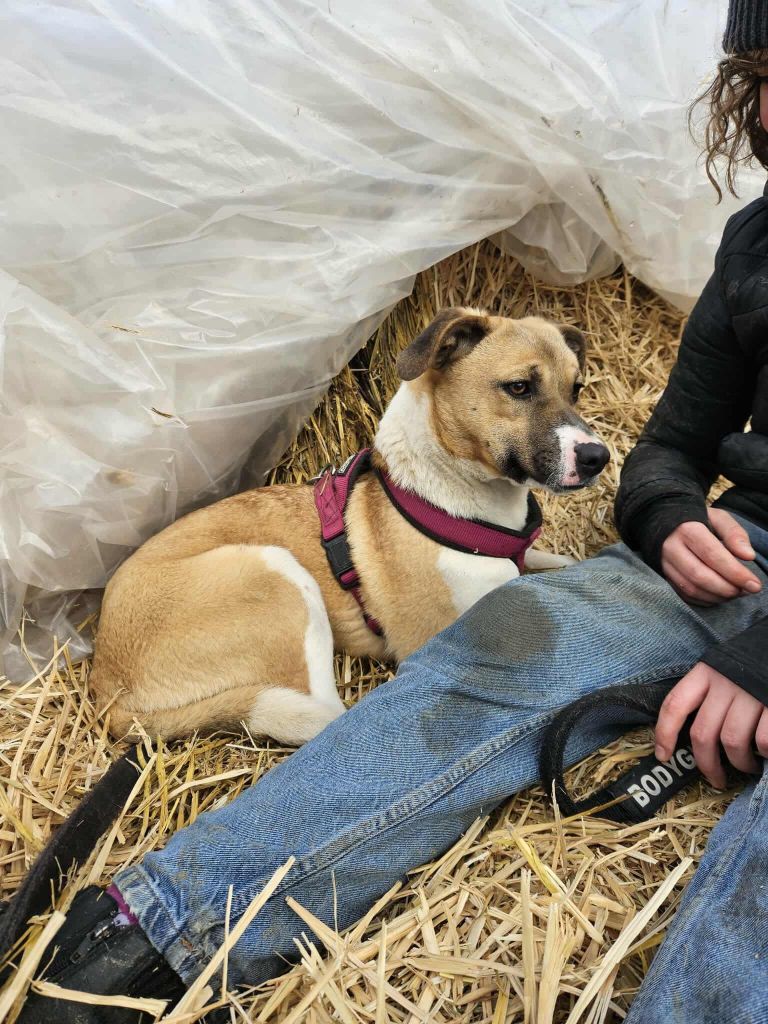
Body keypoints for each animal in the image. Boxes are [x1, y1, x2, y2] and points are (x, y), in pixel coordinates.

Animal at [90, 308, 610, 744]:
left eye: (577, 388)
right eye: (519, 387)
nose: (597, 457)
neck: (449, 499)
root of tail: (107, 687)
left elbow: (562, 560)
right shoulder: (436, 636)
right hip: (276, 573)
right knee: (325, 718)